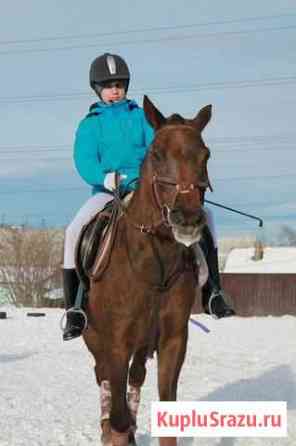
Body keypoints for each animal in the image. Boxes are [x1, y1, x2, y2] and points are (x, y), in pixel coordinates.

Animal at [83, 96, 212, 444]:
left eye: (205, 155)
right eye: (155, 154)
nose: (187, 219)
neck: (155, 264)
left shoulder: (172, 340)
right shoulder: (115, 343)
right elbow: (117, 414)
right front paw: (115, 430)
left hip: (142, 345)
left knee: (136, 376)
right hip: (95, 339)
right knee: (104, 379)